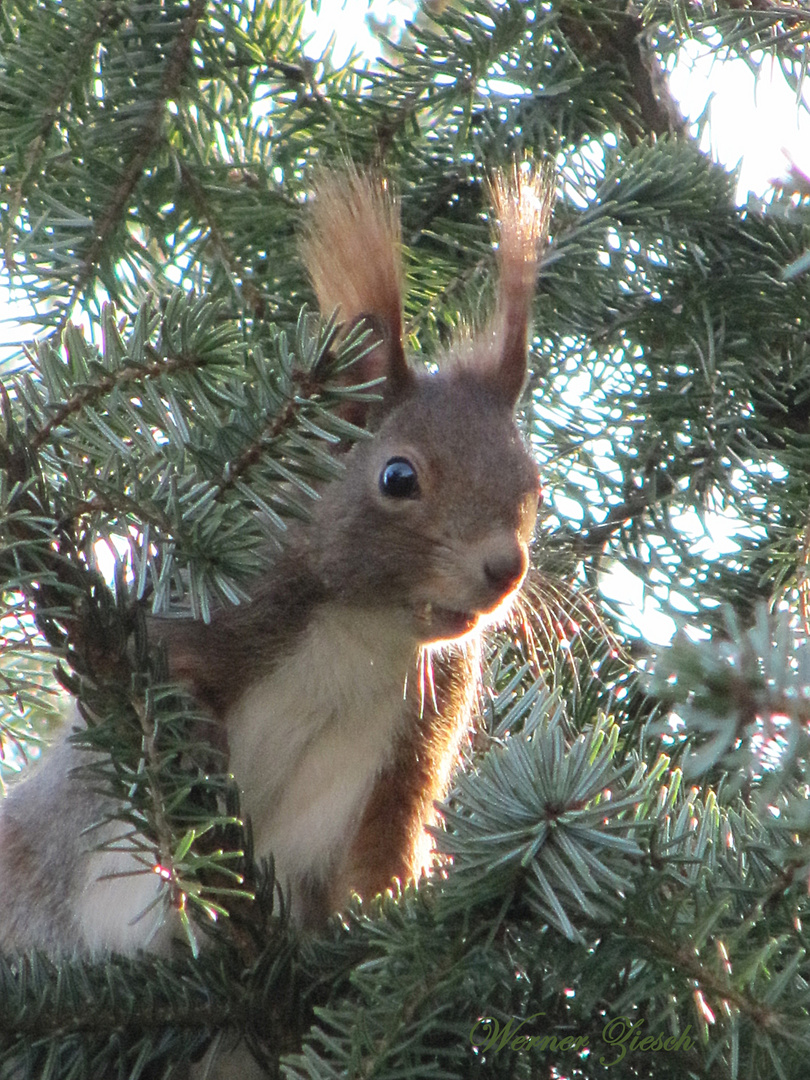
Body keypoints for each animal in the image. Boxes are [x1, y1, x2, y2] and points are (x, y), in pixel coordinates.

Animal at [0, 162, 557, 954]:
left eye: (533, 488)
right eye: (398, 478)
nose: (505, 569)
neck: (365, 629)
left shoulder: (413, 747)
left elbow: (380, 861)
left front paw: (395, 915)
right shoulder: (216, 611)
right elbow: (160, 680)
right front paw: (196, 751)